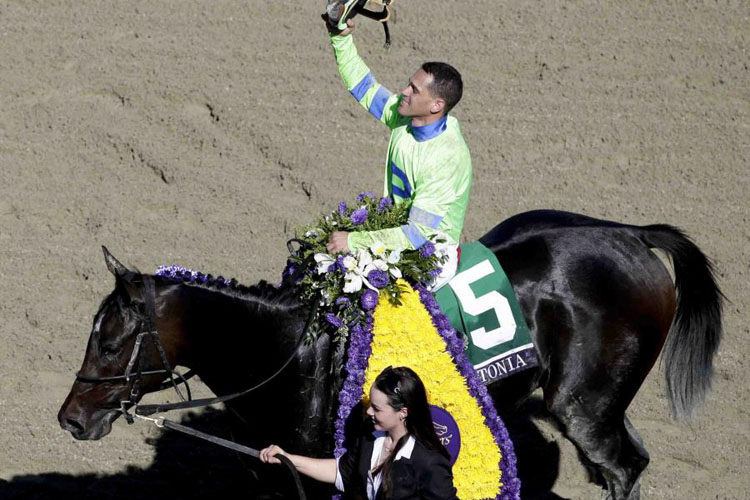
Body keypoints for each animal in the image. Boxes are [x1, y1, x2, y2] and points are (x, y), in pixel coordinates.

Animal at [57, 209, 724, 498]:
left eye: (110, 343)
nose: (71, 418)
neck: (292, 352)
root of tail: (630, 234)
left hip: (585, 405)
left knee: (622, 466)